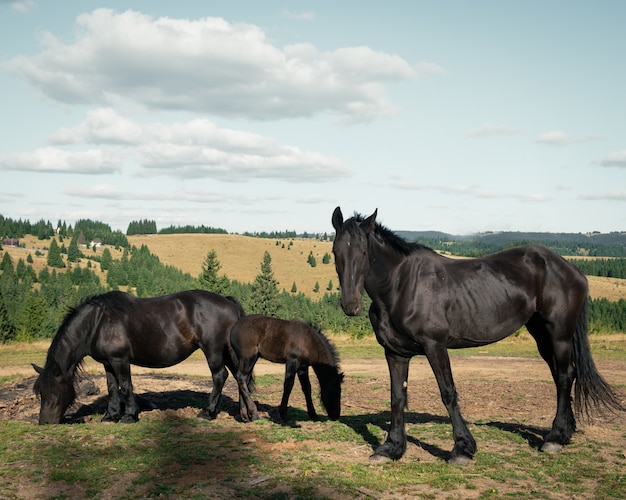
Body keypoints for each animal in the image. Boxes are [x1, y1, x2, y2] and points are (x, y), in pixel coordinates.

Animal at [33, 292, 244, 424]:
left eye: (54, 391)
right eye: (40, 392)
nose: (44, 422)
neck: (97, 323)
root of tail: (227, 301)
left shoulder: (120, 360)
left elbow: (126, 386)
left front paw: (129, 415)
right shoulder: (107, 363)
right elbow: (112, 388)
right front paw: (110, 416)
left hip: (213, 350)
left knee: (220, 377)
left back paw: (207, 412)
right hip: (226, 353)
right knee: (240, 377)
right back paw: (244, 414)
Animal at [330, 207, 620, 464]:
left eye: (364, 251)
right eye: (336, 252)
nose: (350, 304)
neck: (402, 287)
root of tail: (572, 269)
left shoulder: (435, 346)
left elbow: (448, 393)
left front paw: (462, 448)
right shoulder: (395, 353)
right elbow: (397, 398)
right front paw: (391, 448)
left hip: (559, 334)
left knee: (563, 377)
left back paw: (554, 438)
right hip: (542, 336)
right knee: (564, 375)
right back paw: (564, 433)